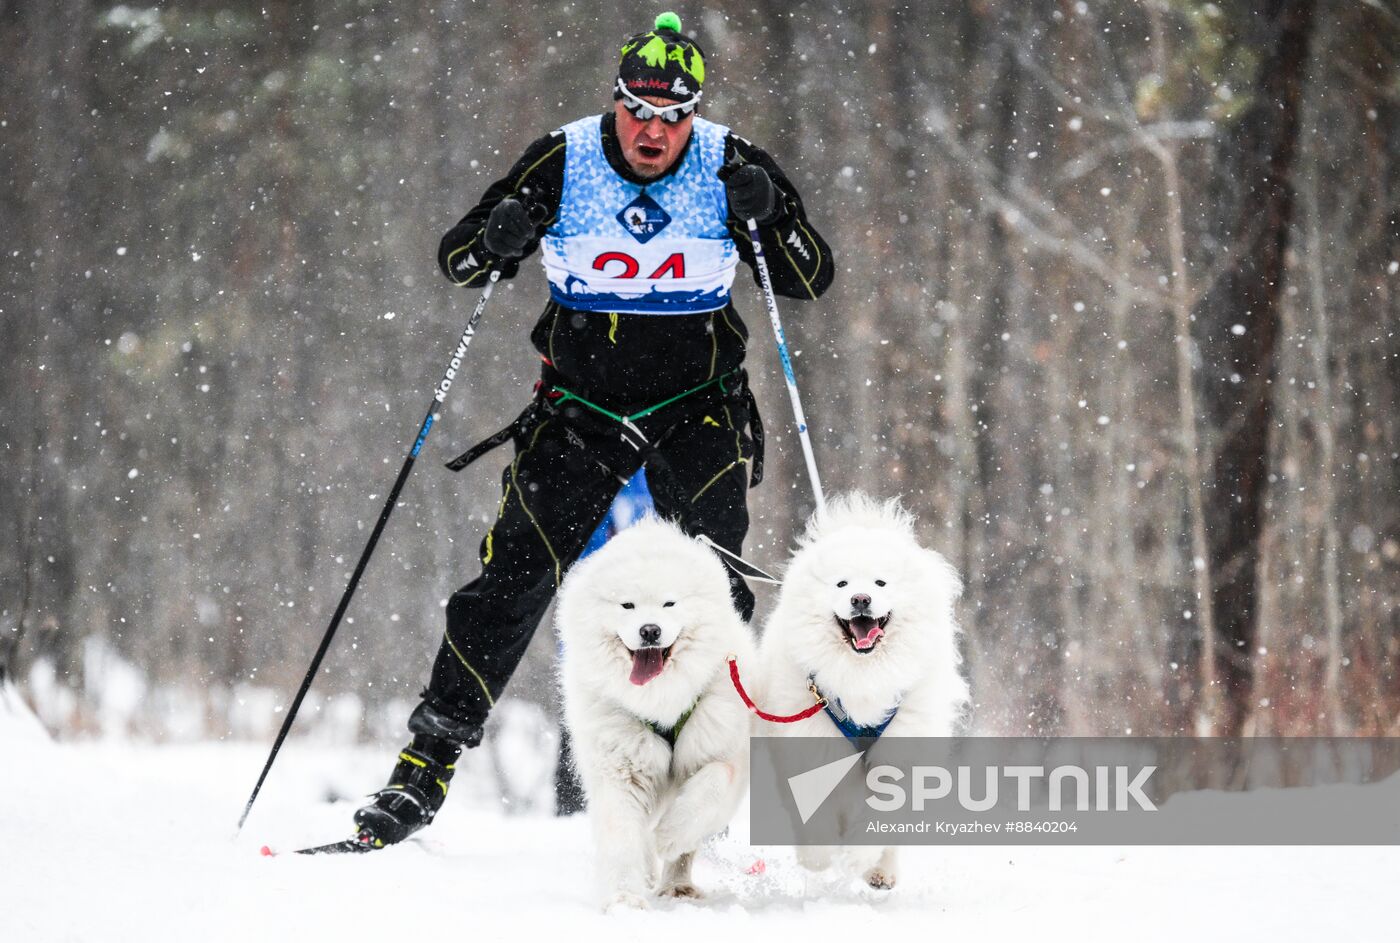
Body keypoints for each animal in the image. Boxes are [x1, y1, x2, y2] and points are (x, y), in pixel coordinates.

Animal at [557, 517, 756, 906]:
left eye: (669, 603)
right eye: (627, 606)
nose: (650, 630)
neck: (661, 699)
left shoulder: (719, 751)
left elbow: (707, 793)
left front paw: (669, 839)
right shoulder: (621, 766)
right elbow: (622, 837)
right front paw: (624, 899)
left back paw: (676, 884)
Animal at [756, 492, 974, 889]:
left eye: (881, 583)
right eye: (841, 584)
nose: (860, 598)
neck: (862, 675)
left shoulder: (901, 752)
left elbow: (882, 814)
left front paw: (858, 857)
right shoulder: (811, 745)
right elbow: (814, 809)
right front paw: (818, 858)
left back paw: (880, 872)